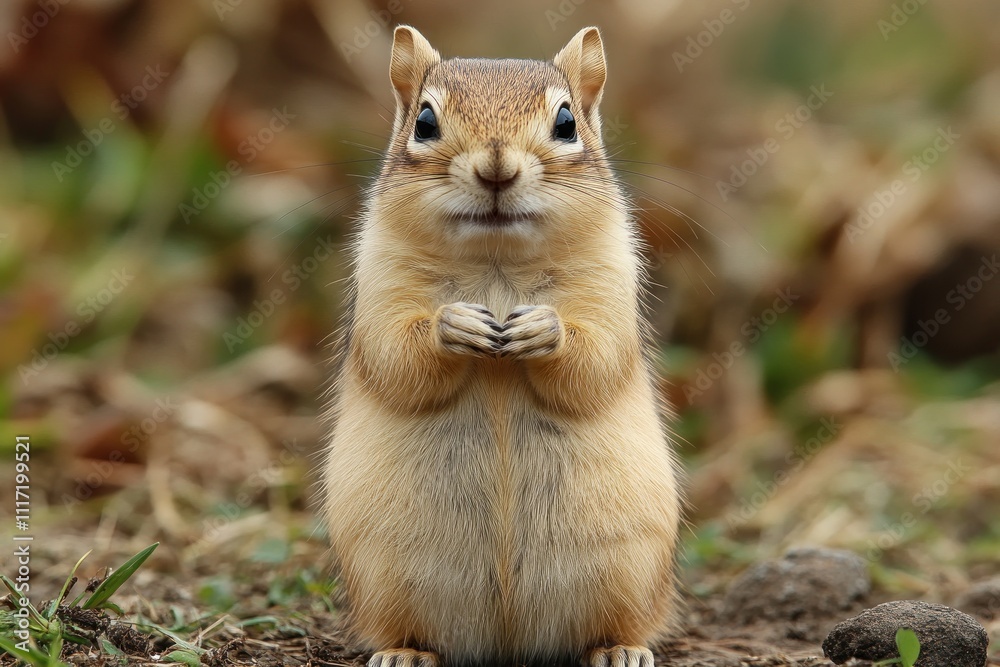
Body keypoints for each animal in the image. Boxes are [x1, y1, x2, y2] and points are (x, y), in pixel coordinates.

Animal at [323, 25, 681, 667]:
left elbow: (596, 358)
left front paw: (542, 331)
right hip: (383, 579)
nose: (496, 167)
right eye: (425, 121)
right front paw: (454, 327)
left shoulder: (610, 292)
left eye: (566, 122)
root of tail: (508, 641)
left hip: (633, 571)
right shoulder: (381, 292)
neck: (496, 262)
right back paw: (405, 652)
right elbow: (396, 356)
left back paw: (619, 649)